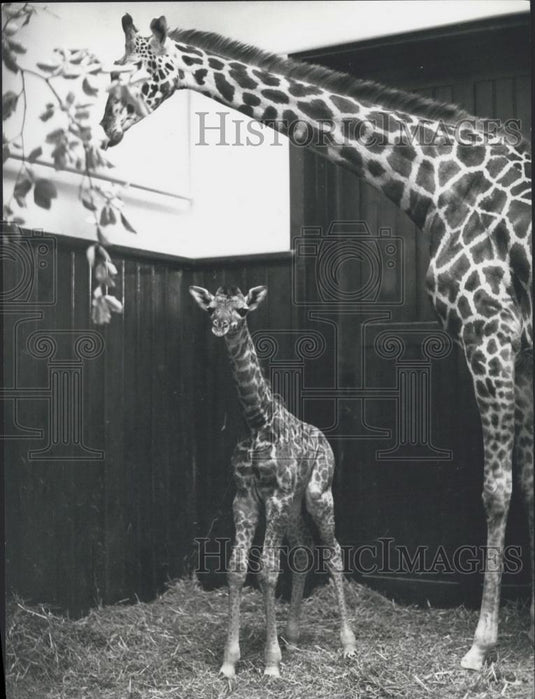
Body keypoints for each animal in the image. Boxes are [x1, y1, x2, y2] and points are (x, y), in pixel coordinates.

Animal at [189, 284, 357, 677]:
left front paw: (271, 662)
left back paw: (348, 644)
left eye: (242, 310)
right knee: (304, 549)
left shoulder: (276, 495)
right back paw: (292, 634)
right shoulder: (246, 496)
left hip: (317, 494)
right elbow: (237, 569)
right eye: (211, 309)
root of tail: (325, 439)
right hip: (294, 505)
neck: (256, 419)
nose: (221, 326)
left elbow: (267, 570)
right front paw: (229, 662)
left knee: (333, 552)